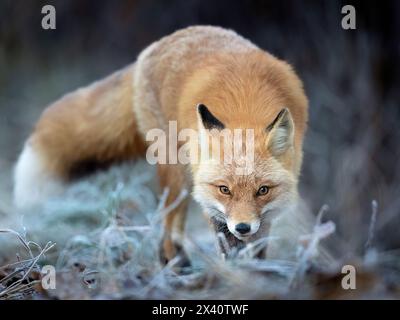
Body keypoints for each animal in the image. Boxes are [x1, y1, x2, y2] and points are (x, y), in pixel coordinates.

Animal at [13, 25, 306, 264]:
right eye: (224, 189)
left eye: (263, 190)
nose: (243, 227)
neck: (245, 106)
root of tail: (160, 43)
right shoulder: (211, 202)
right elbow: (226, 242)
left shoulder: (265, 214)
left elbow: (258, 247)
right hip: (177, 171)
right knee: (169, 222)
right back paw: (175, 264)